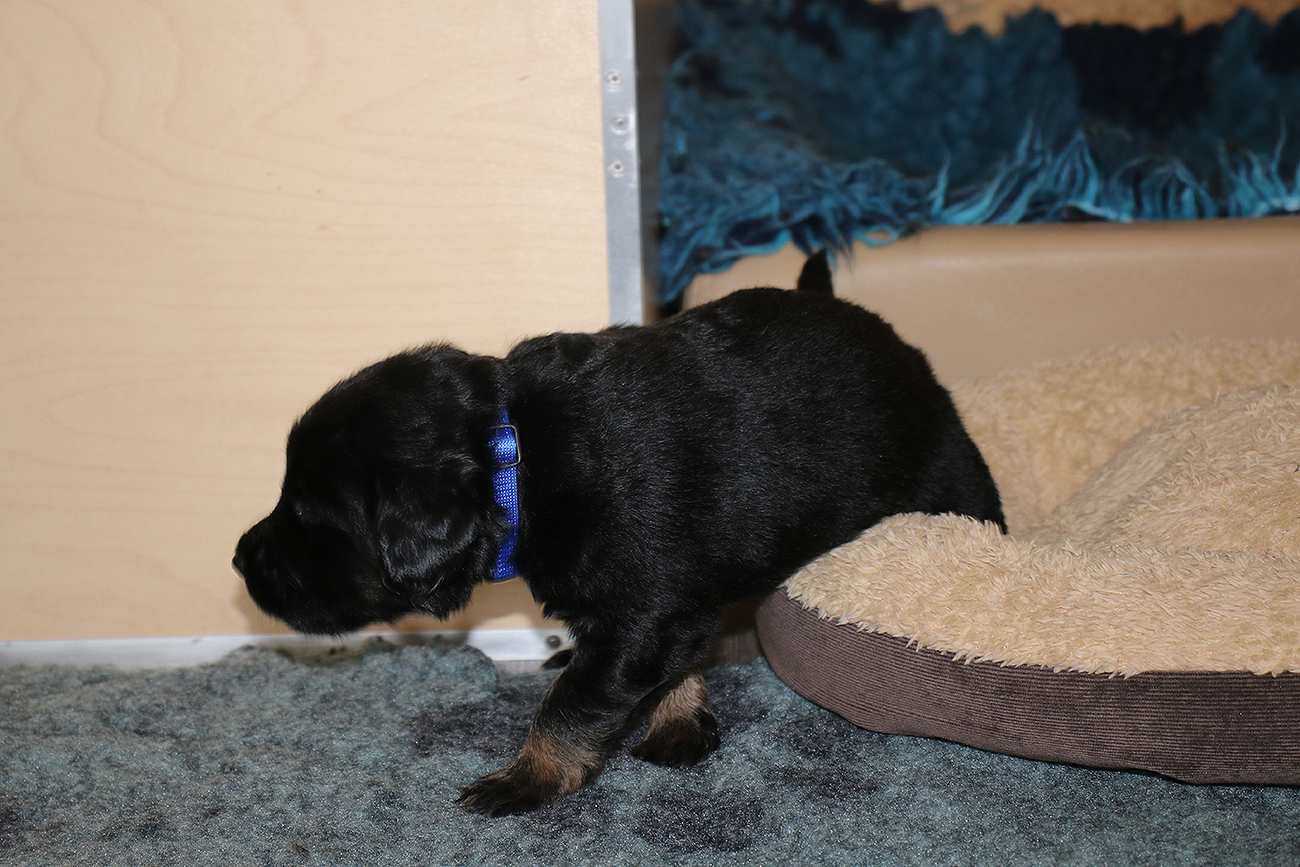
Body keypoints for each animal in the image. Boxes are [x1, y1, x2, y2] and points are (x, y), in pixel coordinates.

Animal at [233, 255, 1005, 815]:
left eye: (307, 515)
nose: (239, 558)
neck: (514, 459)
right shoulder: (668, 608)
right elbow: (657, 667)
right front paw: (678, 721)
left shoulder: (642, 611)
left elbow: (572, 703)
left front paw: (525, 779)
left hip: (951, 468)